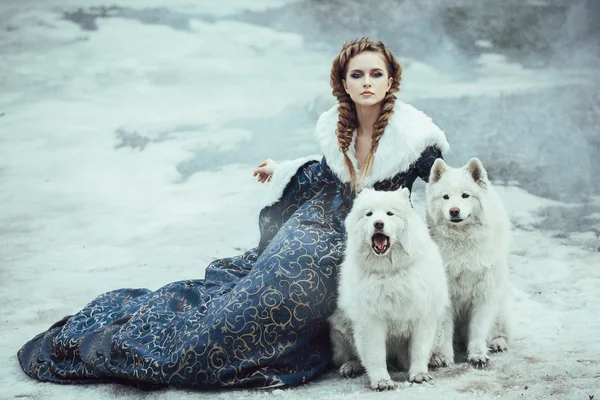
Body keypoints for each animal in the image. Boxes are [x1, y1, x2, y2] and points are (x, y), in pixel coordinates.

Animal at [328, 188, 450, 390]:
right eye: (369, 214)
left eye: (389, 214)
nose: (378, 223)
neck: (389, 271)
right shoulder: (371, 322)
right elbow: (375, 356)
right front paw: (382, 381)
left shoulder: (422, 317)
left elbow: (419, 350)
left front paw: (419, 374)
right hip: (342, 328)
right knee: (352, 356)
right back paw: (350, 366)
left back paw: (435, 359)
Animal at [426, 158, 510, 368]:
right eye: (445, 197)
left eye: (465, 195)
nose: (454, 211)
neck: (462, 241)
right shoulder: (446, 298)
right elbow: (444, 331)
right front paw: (443, 356)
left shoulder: (484, 295)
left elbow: (479, 329)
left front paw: (478, 355)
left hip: (500, 306)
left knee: (501, 331)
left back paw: (498, 343)